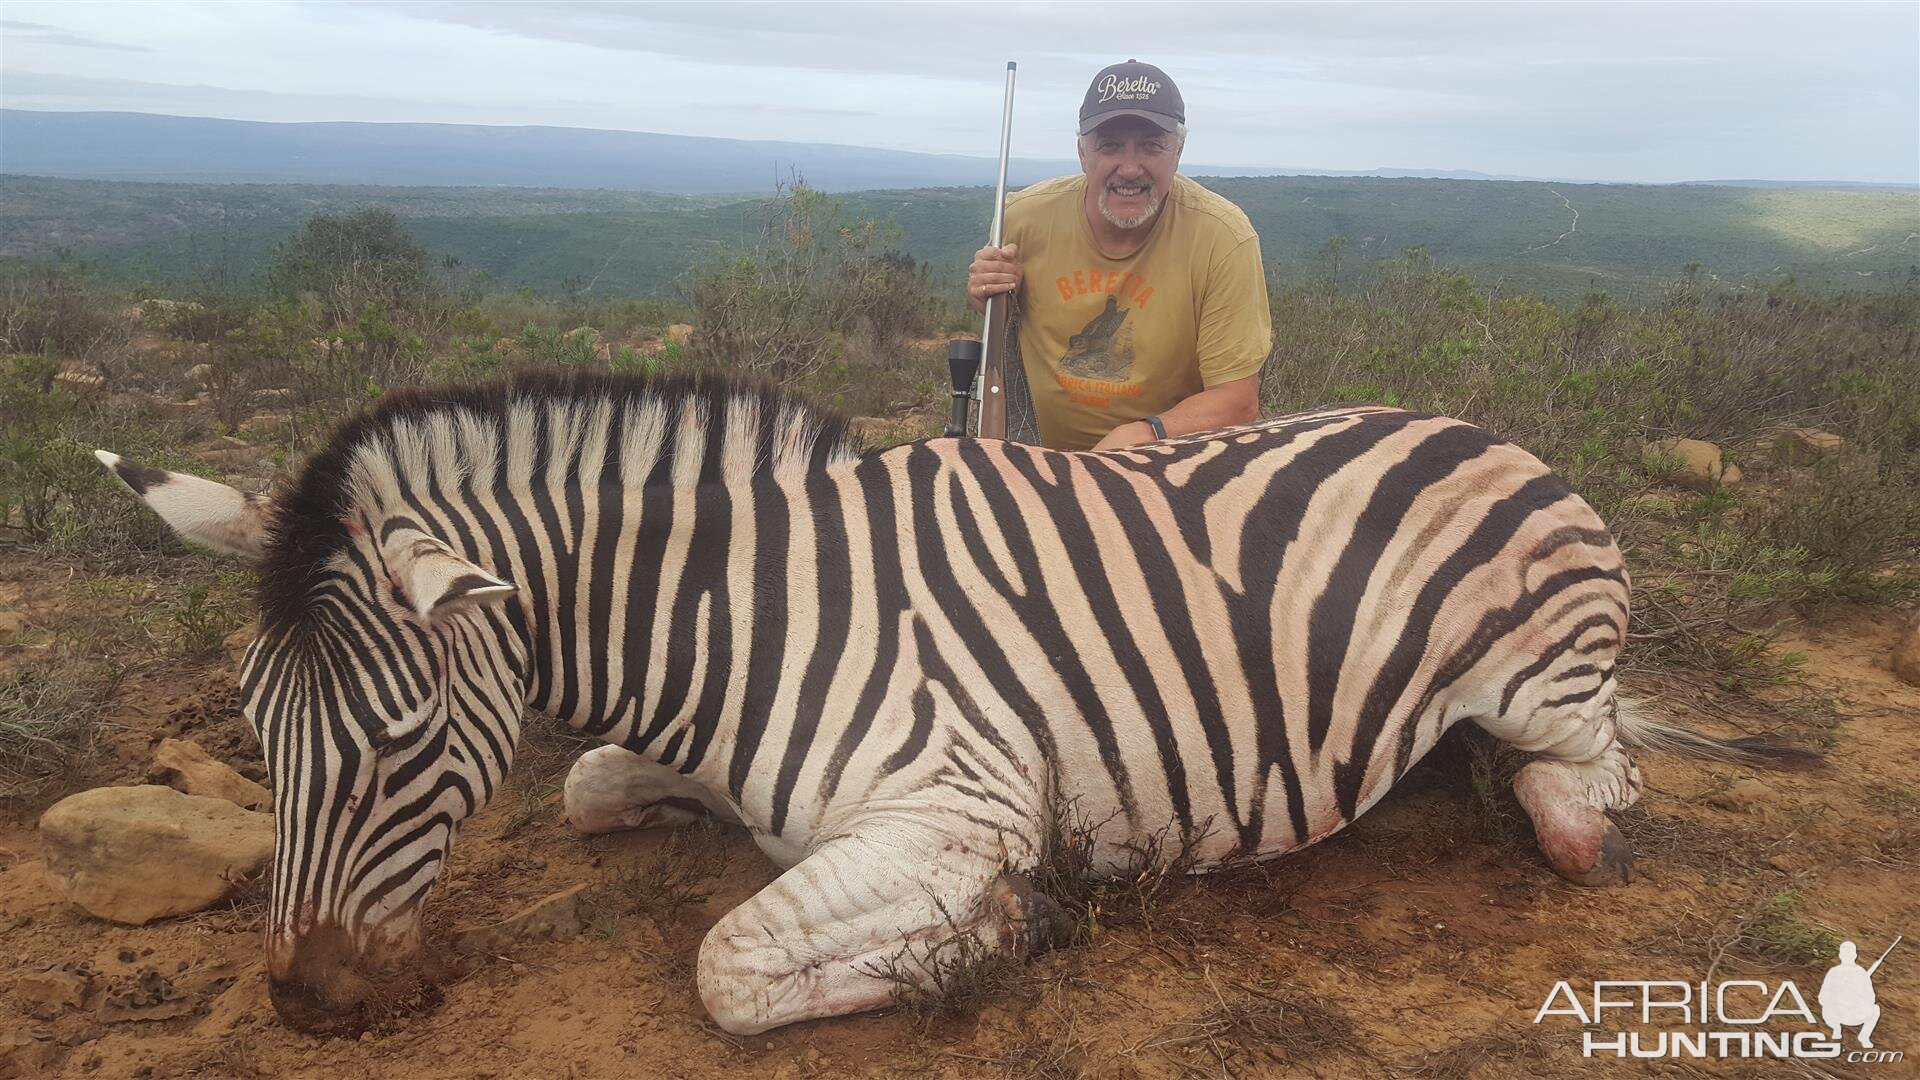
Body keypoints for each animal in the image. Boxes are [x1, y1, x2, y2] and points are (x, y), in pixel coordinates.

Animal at [101, 368, 1797, 1037]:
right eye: (255, 737)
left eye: (396, 748)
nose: (306, 1004)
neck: (739, 620)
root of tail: (1503, 439)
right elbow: (590, 785)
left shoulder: (960, 803)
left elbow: (730, 965)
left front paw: (1003, 934)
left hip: (1550, 694)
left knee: (1593, 792)